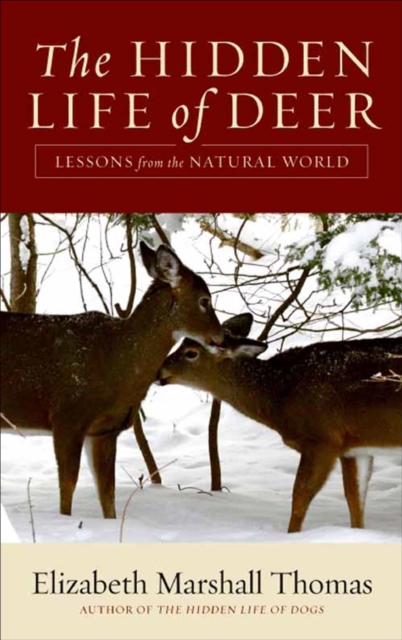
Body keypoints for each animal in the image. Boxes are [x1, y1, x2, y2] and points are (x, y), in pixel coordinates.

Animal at [0, 241, 224, 519]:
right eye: (204, 300)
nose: (221, 338)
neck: (118, 361)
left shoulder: (105, 430)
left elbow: (107, 494)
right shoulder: (67, 416)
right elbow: (68, 487)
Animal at [157, 316, 402, 533]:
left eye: (191, 353)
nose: (159, 371)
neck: (279, 393)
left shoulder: (322, 438)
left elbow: (299, 496)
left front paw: (292, 535)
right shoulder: (354, 446)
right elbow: (354, 498)